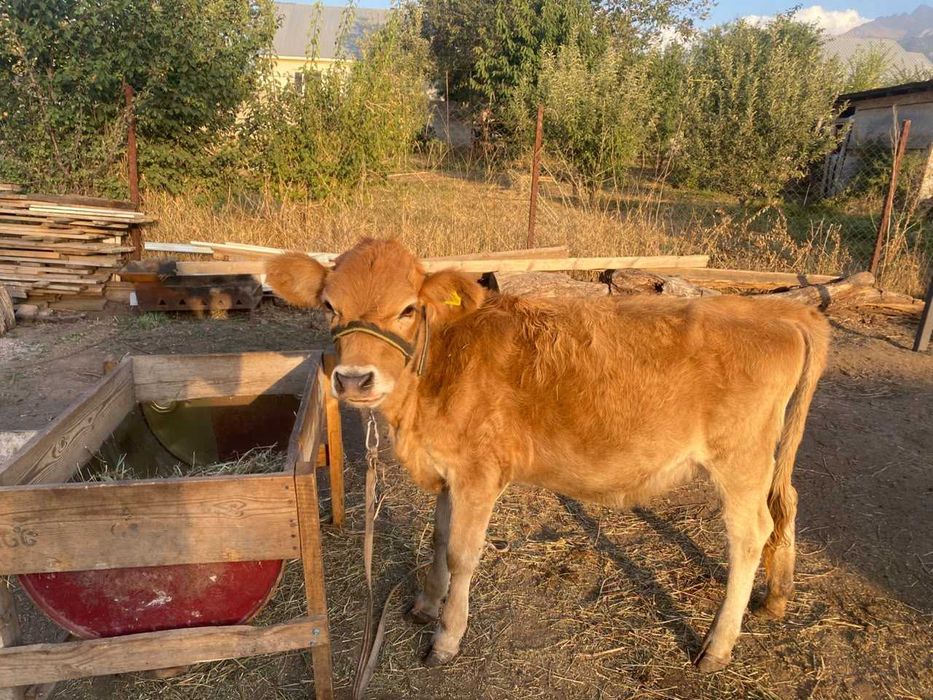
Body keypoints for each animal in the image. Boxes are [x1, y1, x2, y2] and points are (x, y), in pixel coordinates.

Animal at [266, 238, 830, 672]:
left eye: (407, 308)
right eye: (330, 306)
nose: (353, 380)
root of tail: (780, 311)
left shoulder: (478, 474)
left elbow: (462, 554)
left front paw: (446, 638)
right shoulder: (450, 472)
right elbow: (438, 539)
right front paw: (426, 604)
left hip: (740, 462)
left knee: (751, 534)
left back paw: (717, 646)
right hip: (766, 460)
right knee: (788, 504)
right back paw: (776, 598)